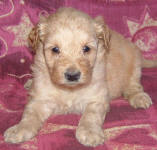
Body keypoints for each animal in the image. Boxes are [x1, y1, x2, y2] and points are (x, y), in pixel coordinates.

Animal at [3, 7, 156, 147]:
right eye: (55, 49)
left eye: (86, 49)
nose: (72, 75)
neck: (70, 89)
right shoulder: (40, 99)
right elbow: (29, 114)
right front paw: (19, 129)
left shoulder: (97, 98)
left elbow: (91, 115)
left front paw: (89, 132)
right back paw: (30, 82)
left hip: (134, 63)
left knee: (133, 85)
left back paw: (139, 97)